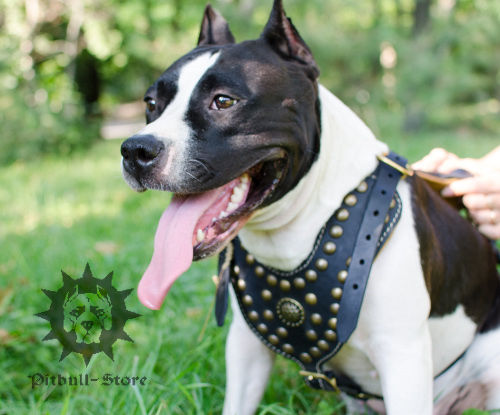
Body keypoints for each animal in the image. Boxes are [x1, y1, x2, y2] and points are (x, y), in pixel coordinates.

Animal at [121, 1, 500, 414]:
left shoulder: (402, 356)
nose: (135, 149)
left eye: (223, 101)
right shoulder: (246, 348)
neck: (296, 229)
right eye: (151, 104)